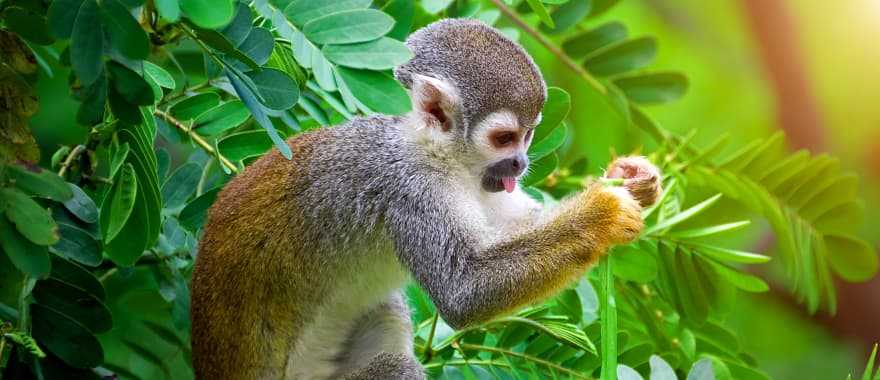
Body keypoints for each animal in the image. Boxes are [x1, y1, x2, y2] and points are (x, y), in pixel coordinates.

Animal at [191, 18, 660, 380]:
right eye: (504, 138)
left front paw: (632, 179)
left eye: (528, 135)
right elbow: (464, 291)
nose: (521, 163)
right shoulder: (411, 188)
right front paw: (602, 213)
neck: (433, 152)